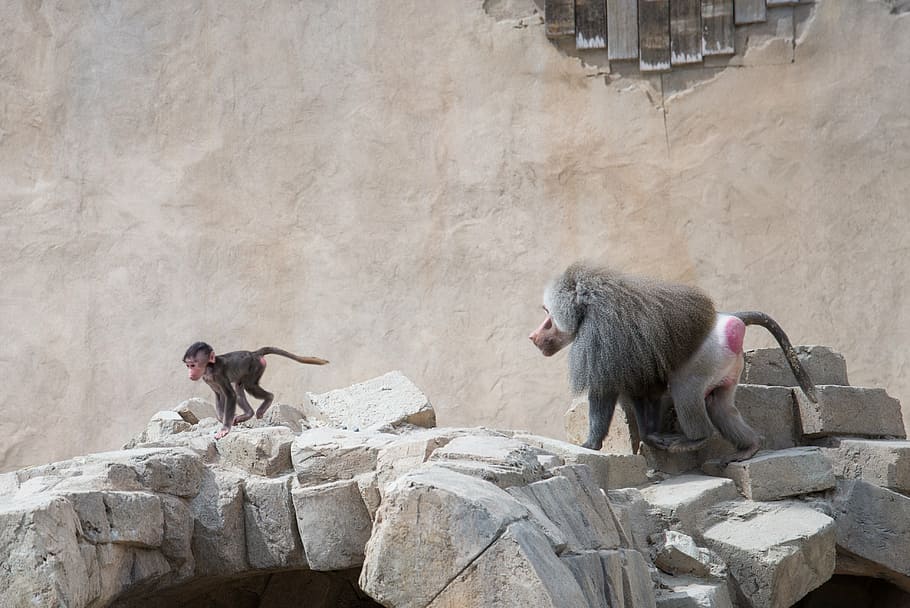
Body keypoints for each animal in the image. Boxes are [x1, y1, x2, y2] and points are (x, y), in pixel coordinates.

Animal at [183, 342, 328, 439]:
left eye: (193, 365)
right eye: (188, 366)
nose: (190, 374)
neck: (209, 367)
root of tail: (254, 353)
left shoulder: (218, 374)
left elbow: (230, 395)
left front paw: (225, 429)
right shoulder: (208, 379)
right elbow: (220, 395)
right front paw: (221, 418)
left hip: (256, 366)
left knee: (248, 387)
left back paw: (268, 398)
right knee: (239, 387)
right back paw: (248, 414)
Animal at [529, 262, 817, 465]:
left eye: (548, 316)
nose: (533, 336)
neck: (589, 306)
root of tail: (730, 319)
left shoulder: (599, 340)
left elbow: (604, 392)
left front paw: (590, 444)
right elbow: (643, 392)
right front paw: (651, 436)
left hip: (705, 358)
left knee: (685, 391)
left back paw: (695, 439)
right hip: (727, 366)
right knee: (719, 405)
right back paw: (749, 447)